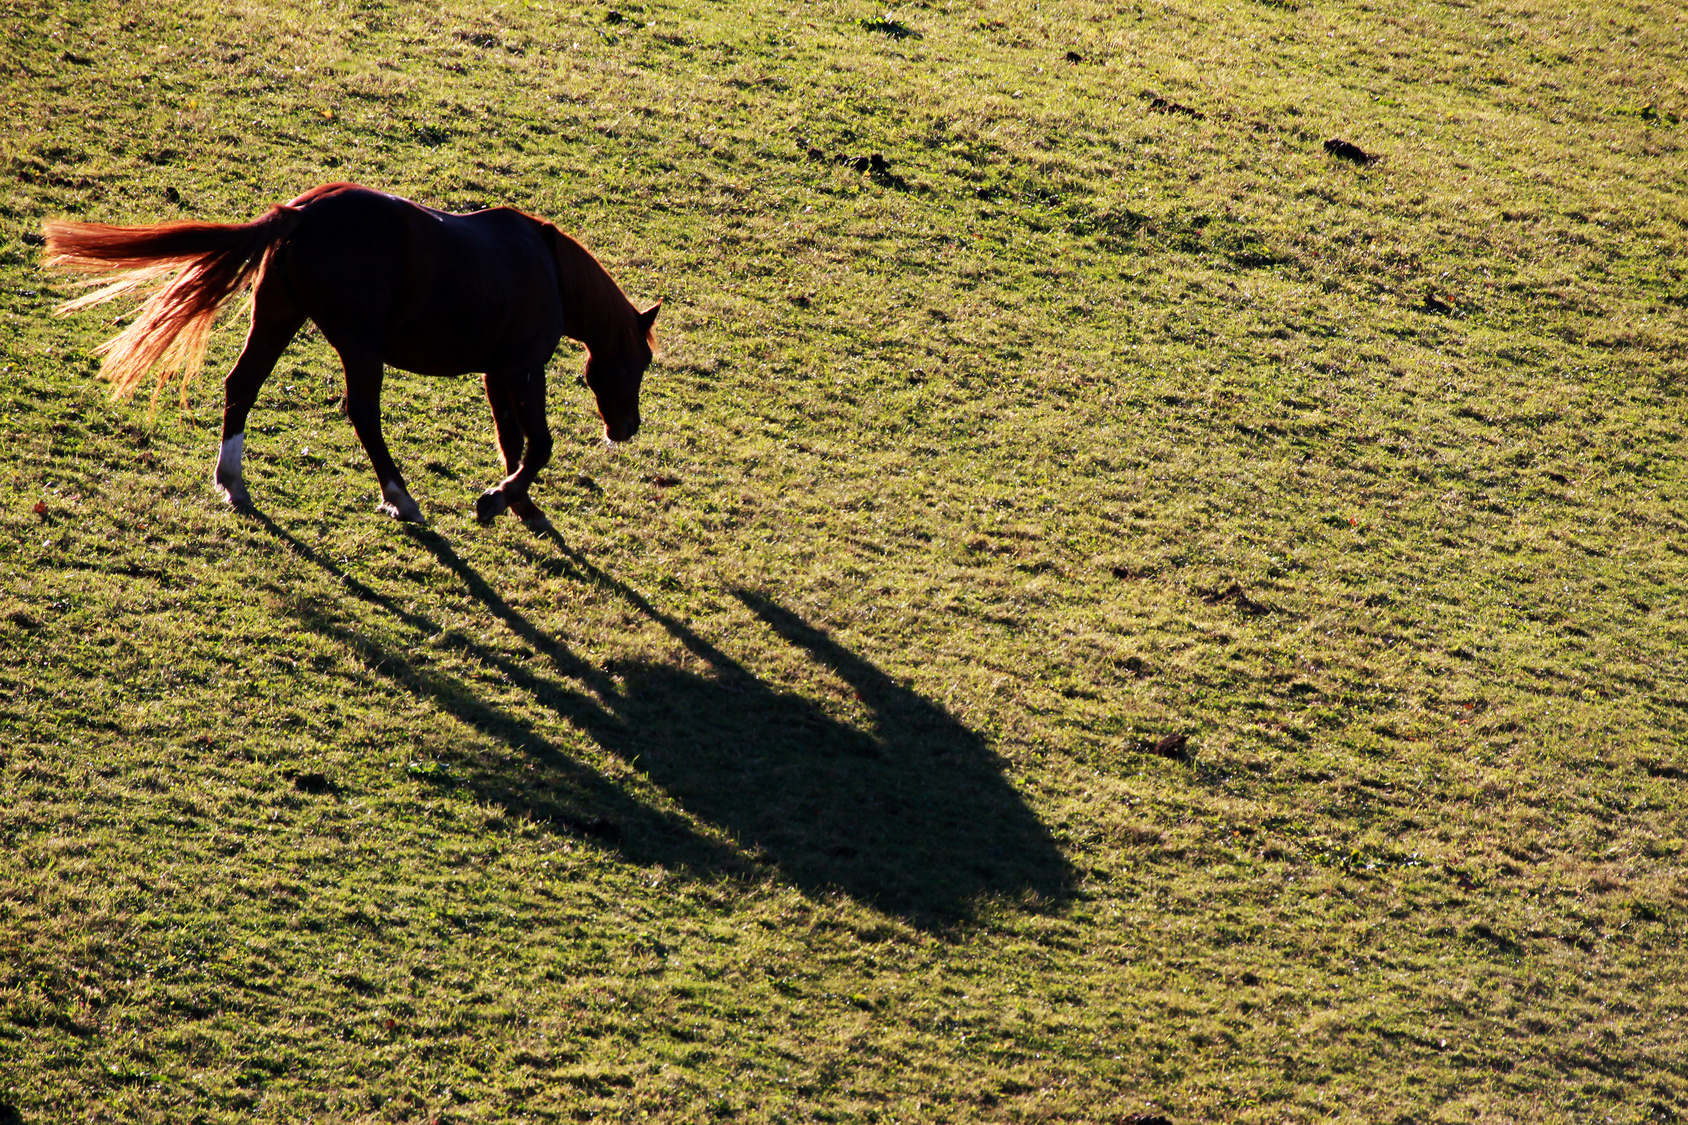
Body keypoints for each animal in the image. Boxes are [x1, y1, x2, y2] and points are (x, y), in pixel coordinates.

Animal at [39, 181, 658, 523]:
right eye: (640, 362)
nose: (627, 428)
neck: (548, 270)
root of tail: (300, 213)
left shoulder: (496, 372)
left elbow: (512, 441)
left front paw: (516, 503)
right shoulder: (524, 369)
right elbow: (539, 445)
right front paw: (498, 500)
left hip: (278, 316)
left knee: (242, 386)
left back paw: (232, 480)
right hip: (358, 346)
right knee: (362, 412)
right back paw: (400, 497)